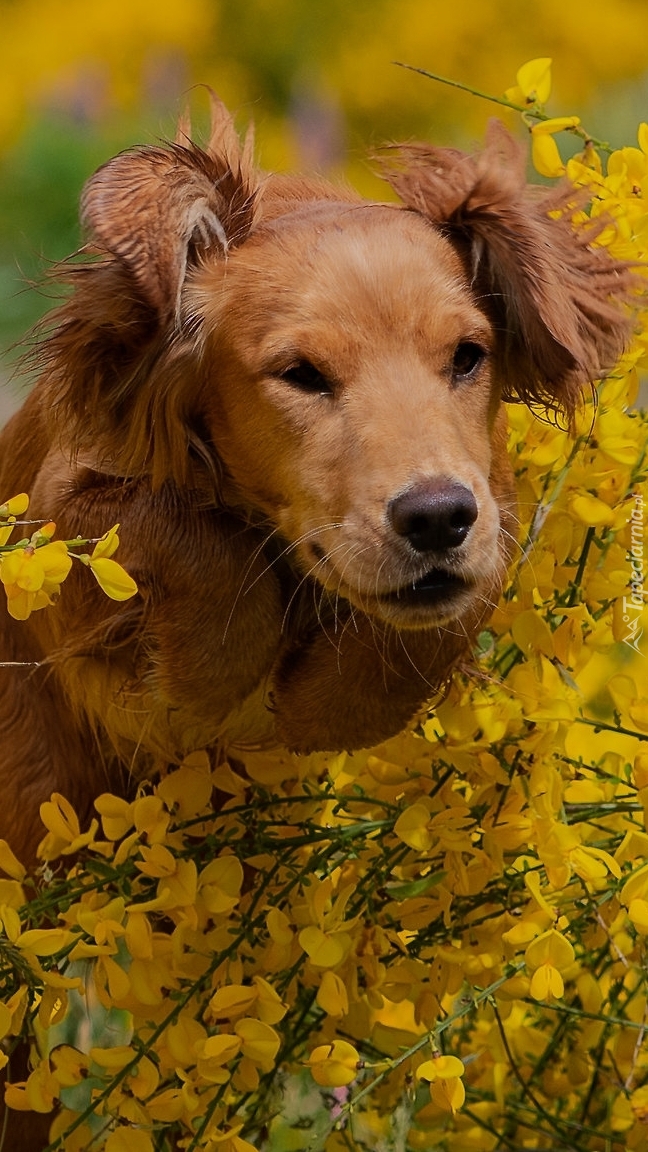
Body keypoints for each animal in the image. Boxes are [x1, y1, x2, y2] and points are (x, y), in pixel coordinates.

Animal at [0, 99, 631, 866]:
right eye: (300, 373)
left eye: (467, 356)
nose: (436, 518)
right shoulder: (56, 511)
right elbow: (198, 546)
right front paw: (202, 684)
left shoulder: (490, 498)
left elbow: (456, 604)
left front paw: (324, 704)